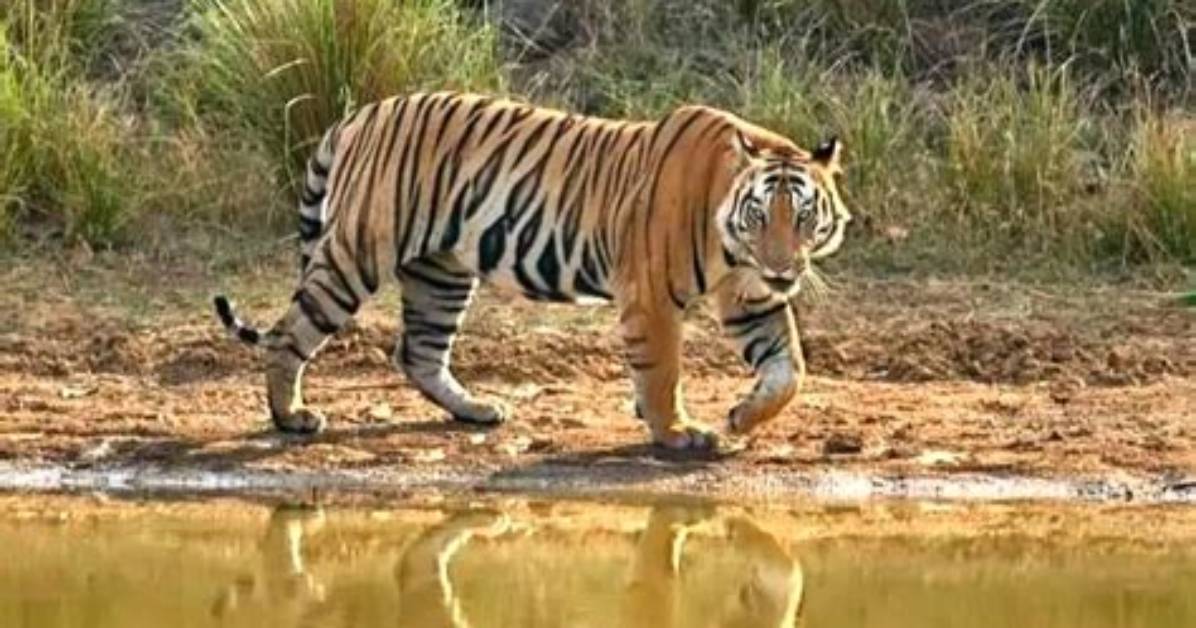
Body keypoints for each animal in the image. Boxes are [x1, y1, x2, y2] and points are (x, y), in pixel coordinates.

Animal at [213, 91, 851, 450]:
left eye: (803, 217)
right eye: (760, 215)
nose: (781, 266)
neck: (735, 248)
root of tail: (360, 116)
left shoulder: (751, 299)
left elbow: (789, 369)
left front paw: (743, 416)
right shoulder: (650, 295)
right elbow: (662, 370)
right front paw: (676, 433)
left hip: (441, 271)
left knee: (419, 351)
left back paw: (476, 409)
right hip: (357, 253)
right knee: (288, 334)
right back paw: (291, 417)